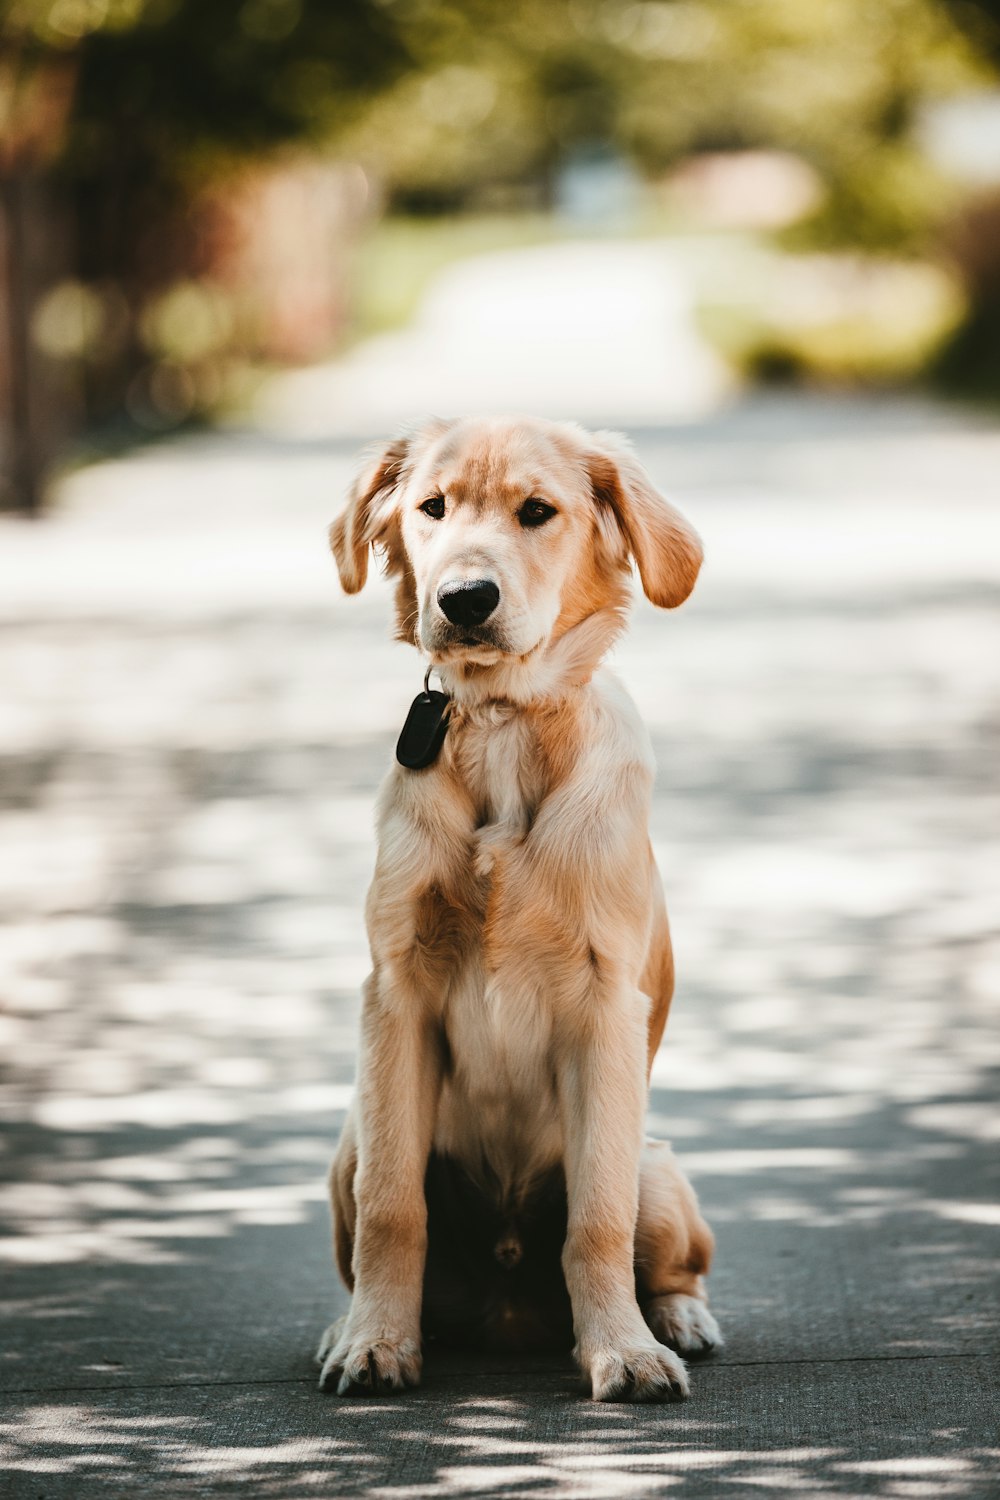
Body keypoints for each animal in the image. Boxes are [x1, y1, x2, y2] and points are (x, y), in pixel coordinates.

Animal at [320, 417, 719, 1398]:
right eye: (431, 508)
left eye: (538, 512)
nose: (465, 599)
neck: (501, 722)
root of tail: (508, 1310)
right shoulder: (395, 992)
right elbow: (394, 1209)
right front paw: (376, 1341)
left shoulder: (605, 1004)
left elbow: (596, 1220)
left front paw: (623, 1352)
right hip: (347, 1141)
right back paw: (352, 1324)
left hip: (657, 1168)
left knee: (670, 1254)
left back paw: (676, 1319)